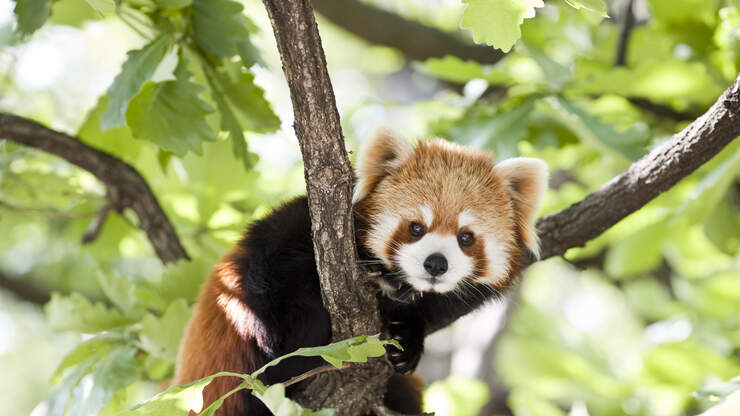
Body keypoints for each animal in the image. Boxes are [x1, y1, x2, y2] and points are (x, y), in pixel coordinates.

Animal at [172, 129, 544, 412]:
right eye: (416, 228)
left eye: (466, 237)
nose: (436, 263)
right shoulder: (287, 236)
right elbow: (277, 273)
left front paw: (408, 338)